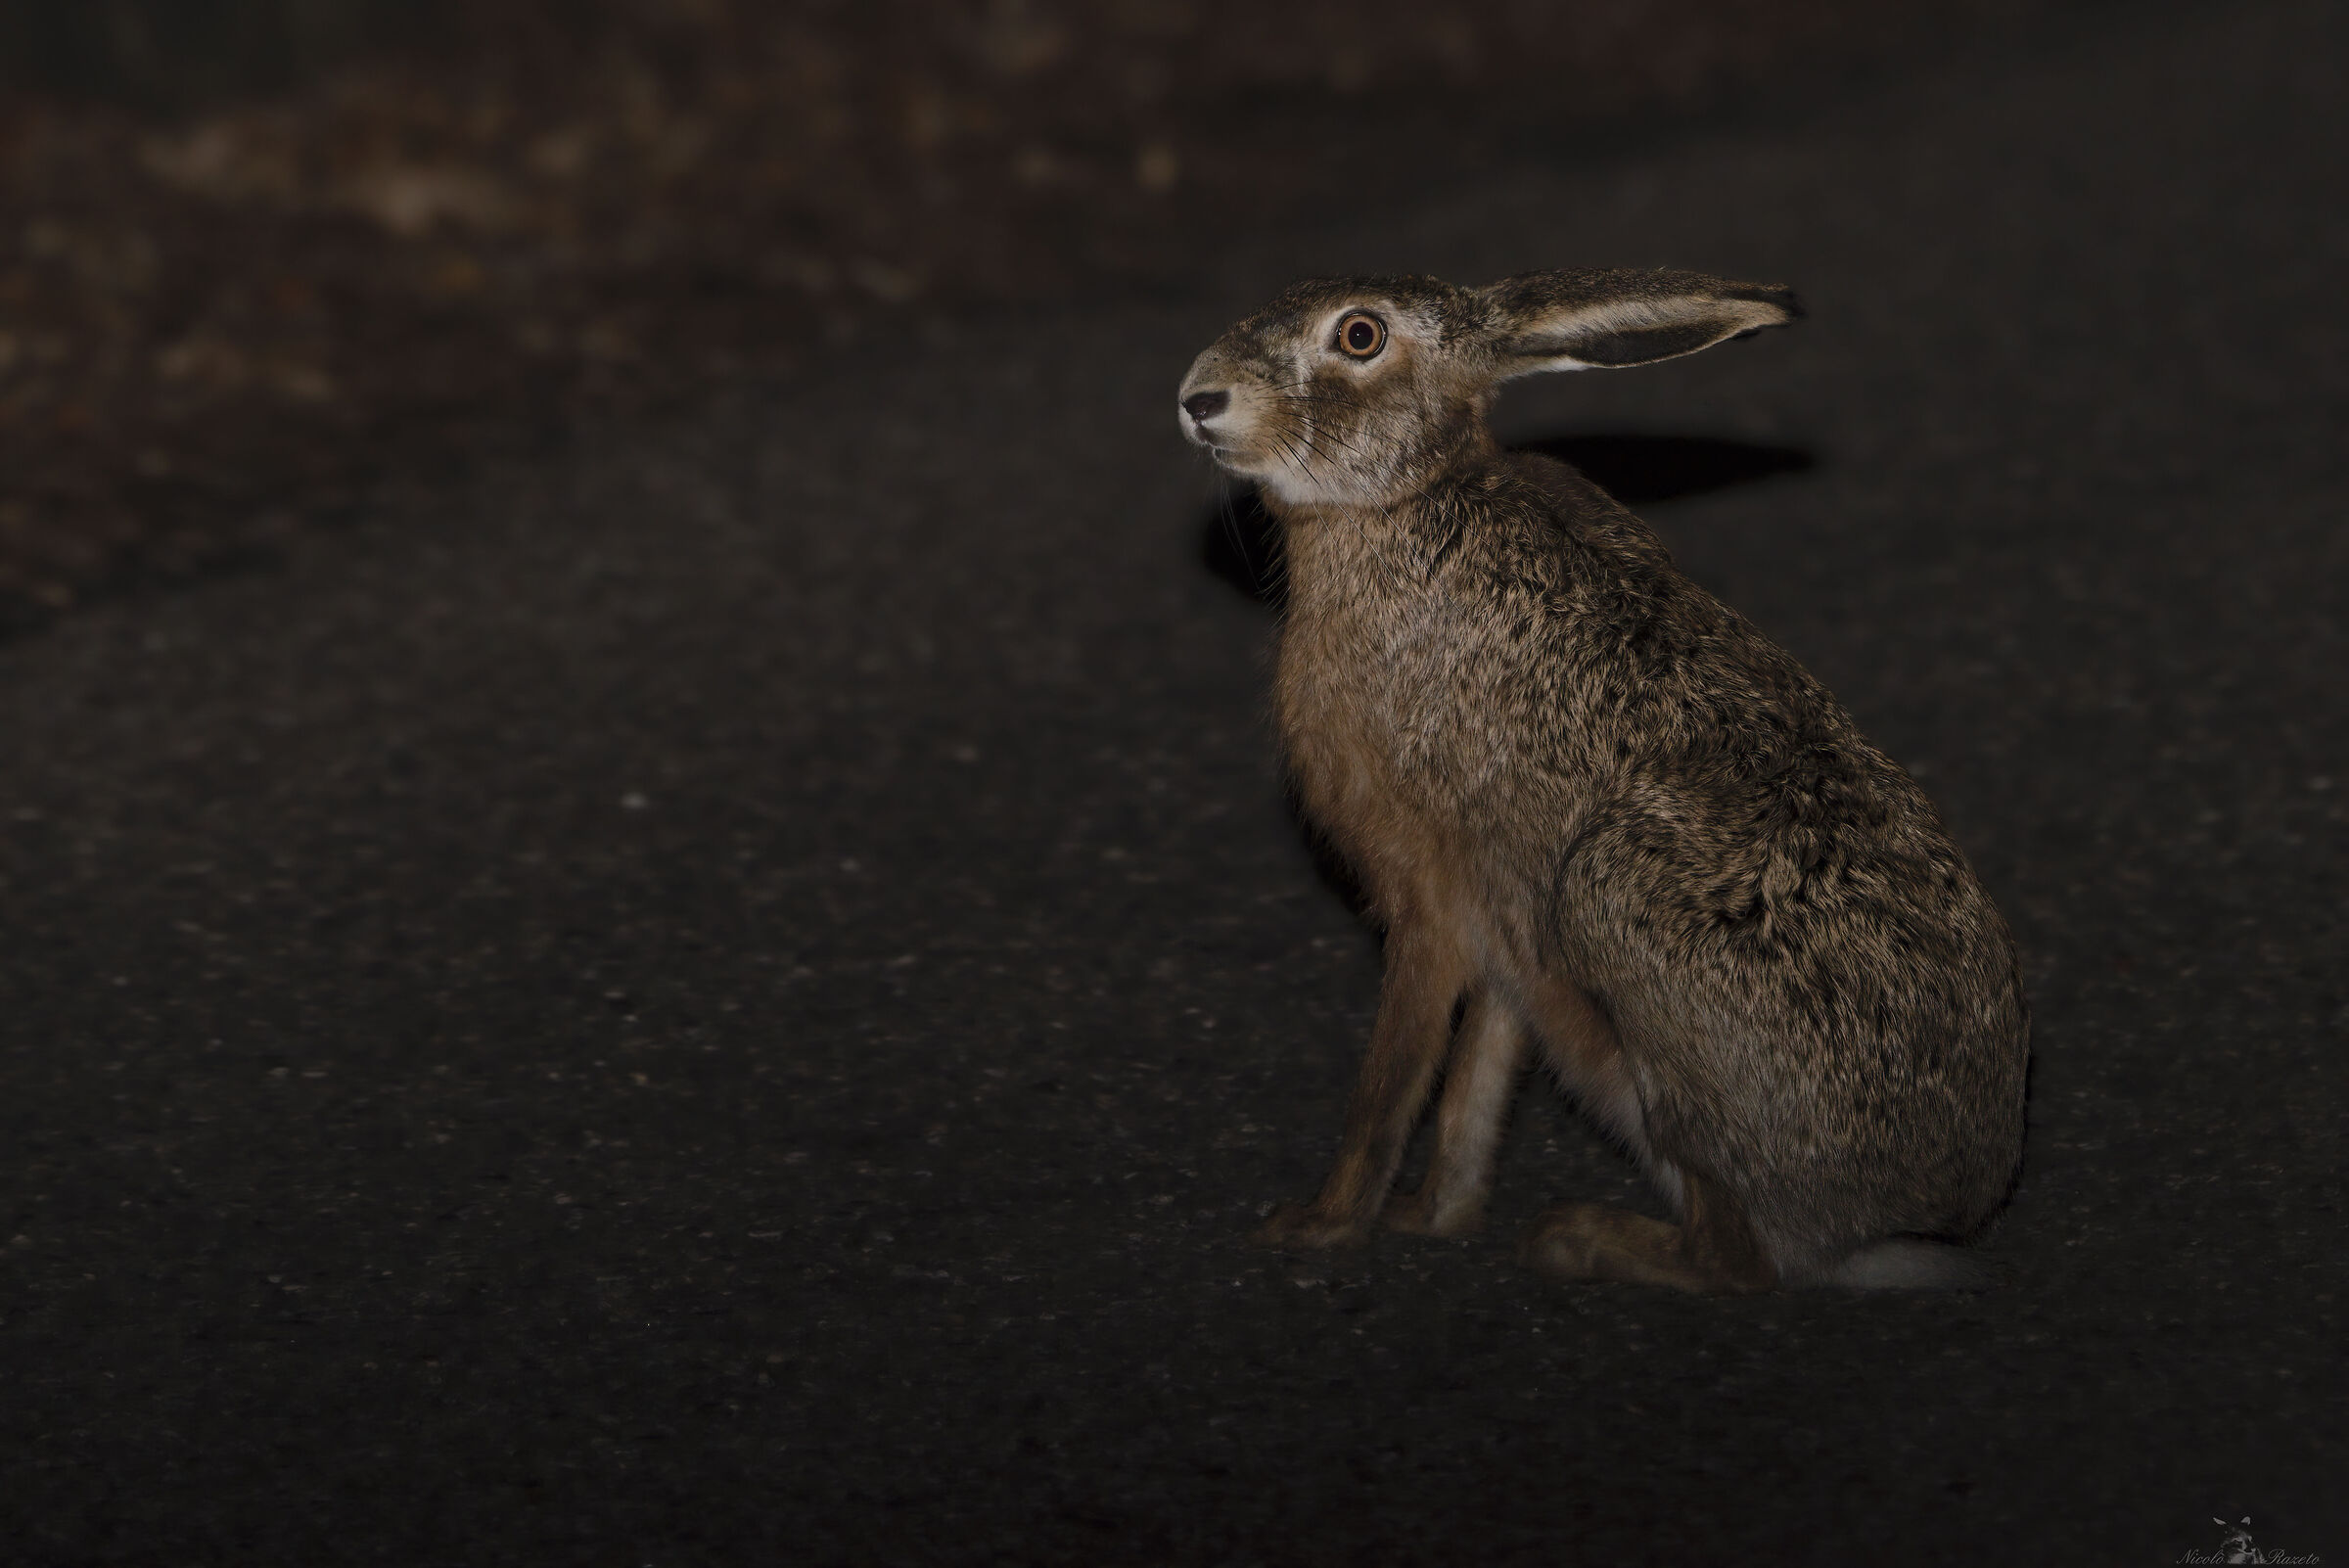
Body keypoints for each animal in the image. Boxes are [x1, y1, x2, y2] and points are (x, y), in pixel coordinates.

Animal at [1175, 268, 2028, 1292]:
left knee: (1734, 1259)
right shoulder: (1503, 918)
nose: (1199, 399)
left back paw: (1578, 1236)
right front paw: (1434, 1217)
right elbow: (1479, 1073)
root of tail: (1927, 1215)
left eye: (1359, 336)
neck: (1398, 503)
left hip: (1611, 902)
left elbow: (1395, 1075)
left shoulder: (1428, 891)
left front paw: (1318, 1226)